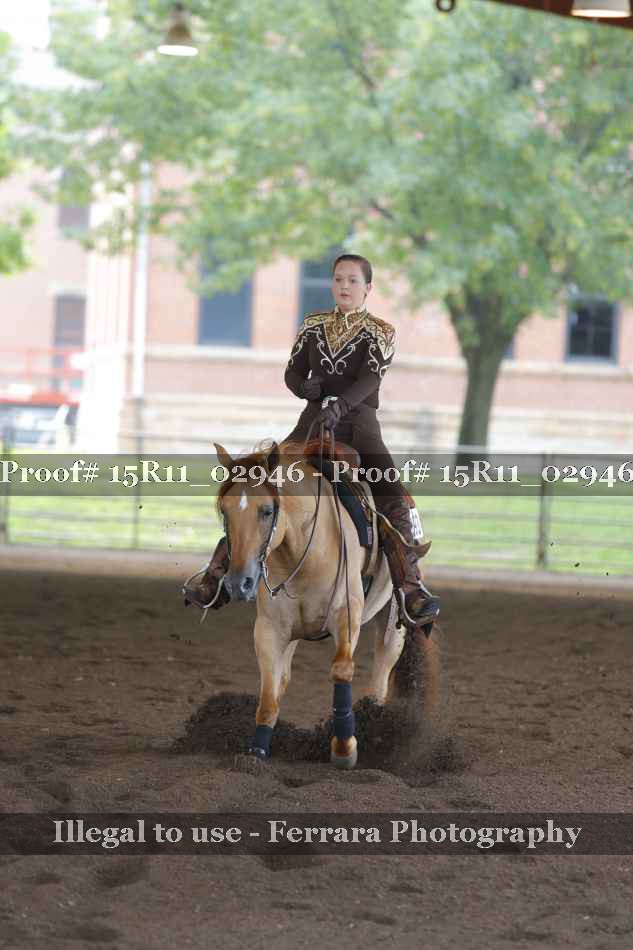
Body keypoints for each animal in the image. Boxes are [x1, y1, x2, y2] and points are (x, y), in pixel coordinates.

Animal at [187, 438, 439, 769]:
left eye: (267, 510)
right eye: (225, 512)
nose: (238, 583)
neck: (302, 552)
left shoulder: (347, 615)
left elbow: (341, 670)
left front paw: (344, 749)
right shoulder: (269, 630)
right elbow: (269, 696)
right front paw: (255, 754)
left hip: (393, 623)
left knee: (381, 674)